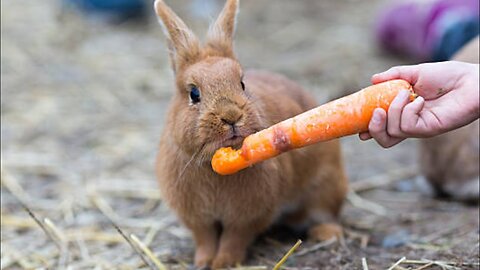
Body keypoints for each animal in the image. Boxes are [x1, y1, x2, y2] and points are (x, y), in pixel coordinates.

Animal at [156, 0, 346, 268]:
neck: (215, 164)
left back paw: (326, 234)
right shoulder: (197, 218)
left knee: (325, 212)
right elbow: (205, 238)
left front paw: (223, 262)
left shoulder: (247, 217)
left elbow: (234, 239)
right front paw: (204, 262)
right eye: (194, 93)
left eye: (242, 84)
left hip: (326, 184)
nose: (231, 116)